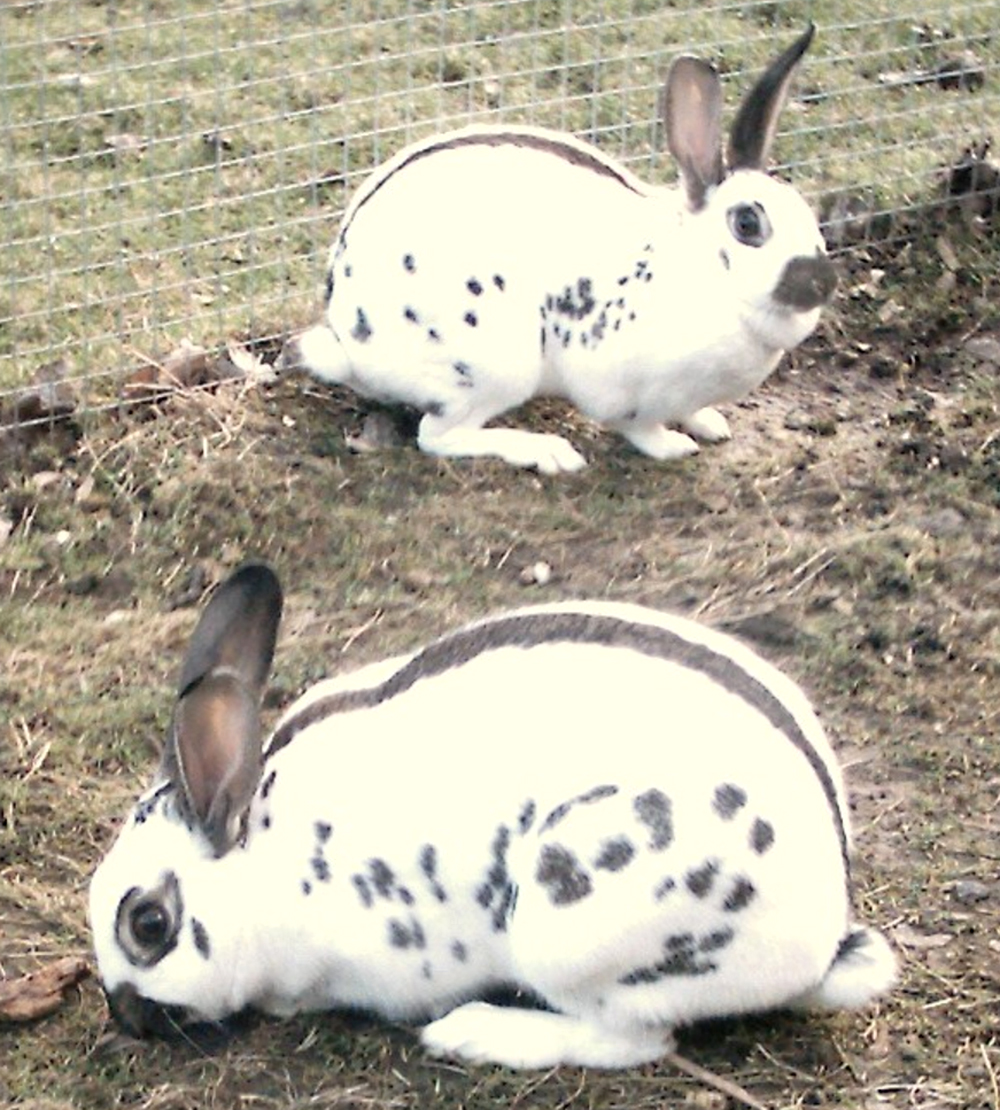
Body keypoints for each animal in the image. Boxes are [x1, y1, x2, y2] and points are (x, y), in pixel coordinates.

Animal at [89, 563, 895, 1068]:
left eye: (147, 924)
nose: (128, 1019)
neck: (261, 865)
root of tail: (825, 940)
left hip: (570, 925)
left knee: (635, 1039)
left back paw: (475, 1035)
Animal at [279, 26, 837, 474]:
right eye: (748, 223)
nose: (823, 282)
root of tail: (349, 341)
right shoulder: (619, 388)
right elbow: (640, 428)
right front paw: (675, 446)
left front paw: (710, 423)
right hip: (493, 368)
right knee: (438, 437)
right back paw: (548, 451)